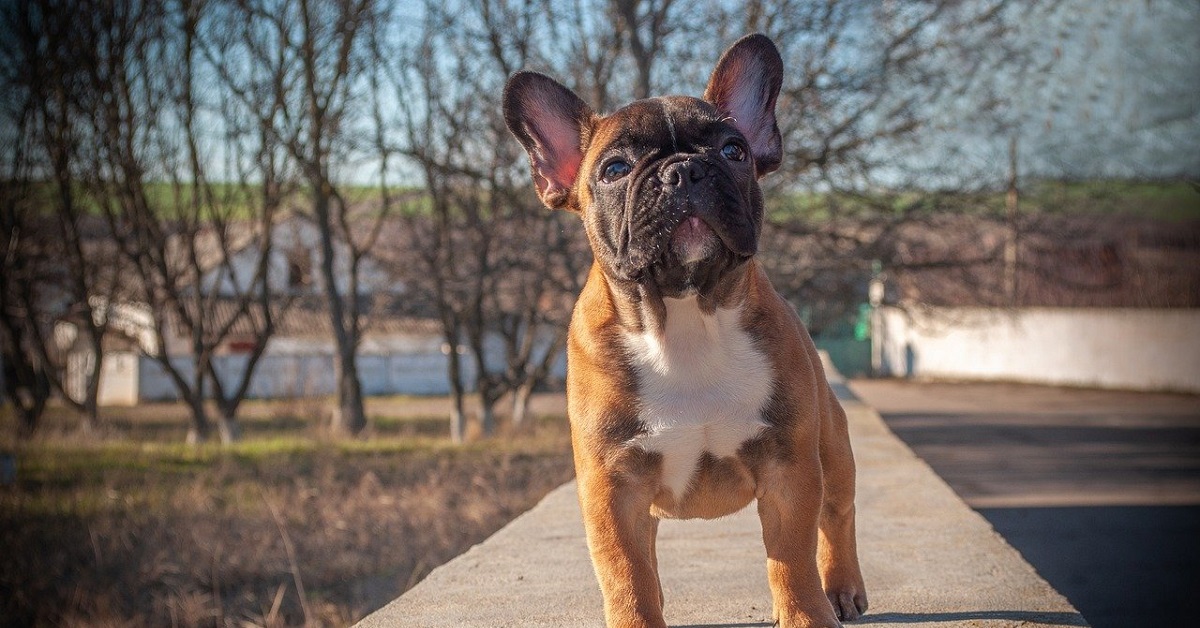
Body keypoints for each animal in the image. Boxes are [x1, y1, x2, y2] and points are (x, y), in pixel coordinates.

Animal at [501, 34, 868, 628]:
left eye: (733, 151)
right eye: (615, 168)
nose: (684, 170)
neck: (687, 315)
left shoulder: (790, 469)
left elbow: (791, 560)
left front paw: (806, 616)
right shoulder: (612, 488)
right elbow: (627, 575)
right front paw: (638, 615)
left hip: (831, 450)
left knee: (838, 515)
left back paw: (843, 588)